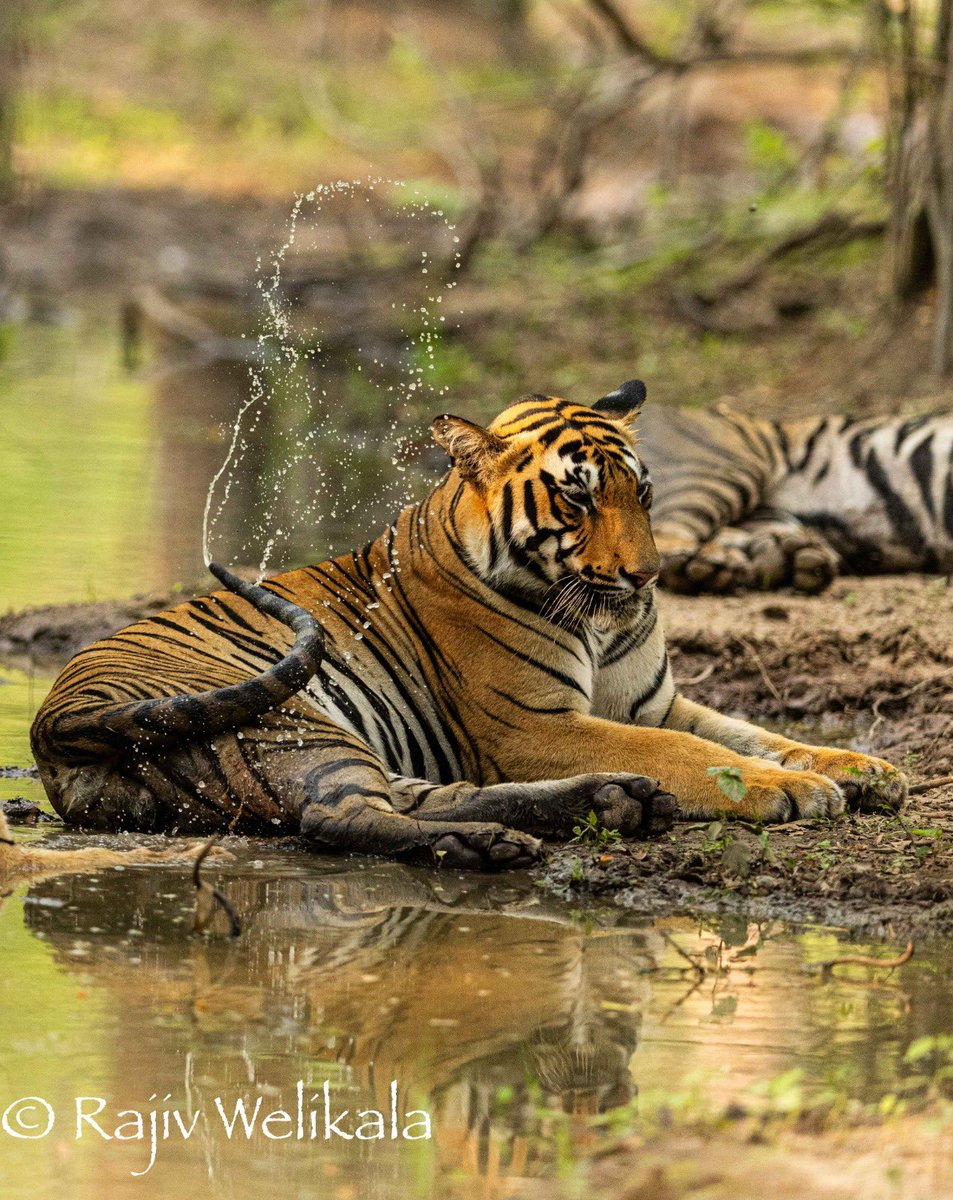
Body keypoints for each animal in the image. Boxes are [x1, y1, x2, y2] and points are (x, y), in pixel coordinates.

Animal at [29, 379, 907, 868]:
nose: (646, 576)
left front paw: (861, 768)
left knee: (418, 798)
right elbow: (690, 753)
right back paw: (508, 840)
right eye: (579, 497)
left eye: (643, 492)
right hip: (295, 721)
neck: (600, 622)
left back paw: (612, 802)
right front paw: (793, 790)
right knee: (337, 815)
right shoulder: (533, 723)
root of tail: (55, 718)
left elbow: (754, 731)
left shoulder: (652, 702)